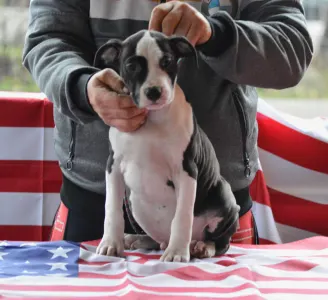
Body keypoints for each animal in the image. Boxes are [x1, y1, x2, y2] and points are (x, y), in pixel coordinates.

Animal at [93, 29, 240, 262]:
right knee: (157, 239)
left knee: (222, 243)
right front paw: (110, 243)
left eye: (167, 61)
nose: (154, 91)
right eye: (131, 66)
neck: (152, 119)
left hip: (224, 195)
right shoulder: (113, 167)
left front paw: (177, 252)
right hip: (134, 203)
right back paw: (138, 239)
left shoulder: (186, 171)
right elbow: (112, 209)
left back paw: (202, 247)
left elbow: (182, 216)